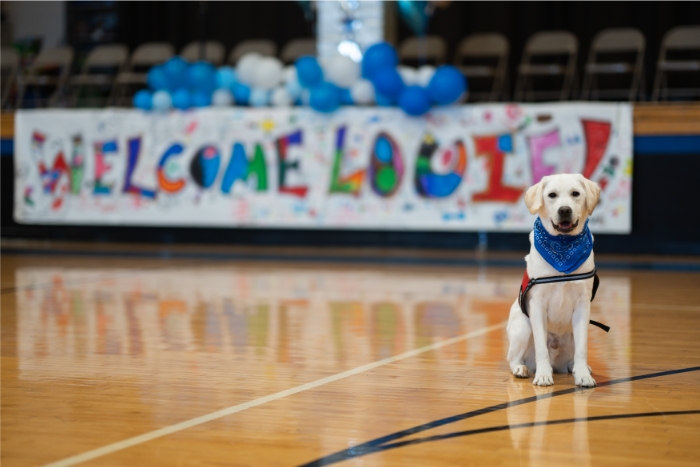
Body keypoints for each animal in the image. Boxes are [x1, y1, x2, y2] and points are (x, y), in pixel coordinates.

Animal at [508, 175, 600, 388]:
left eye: (575, 193)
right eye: (552, 195)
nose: (564, 210)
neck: (562, 247)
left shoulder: (582, 305)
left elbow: (582, 349)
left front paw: (583, 375)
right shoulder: (537, 305)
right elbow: (541, 347)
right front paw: (543, 375)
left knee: (572, 357)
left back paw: (577, 367)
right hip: (523, 327)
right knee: (513, 357)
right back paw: (520, 368)